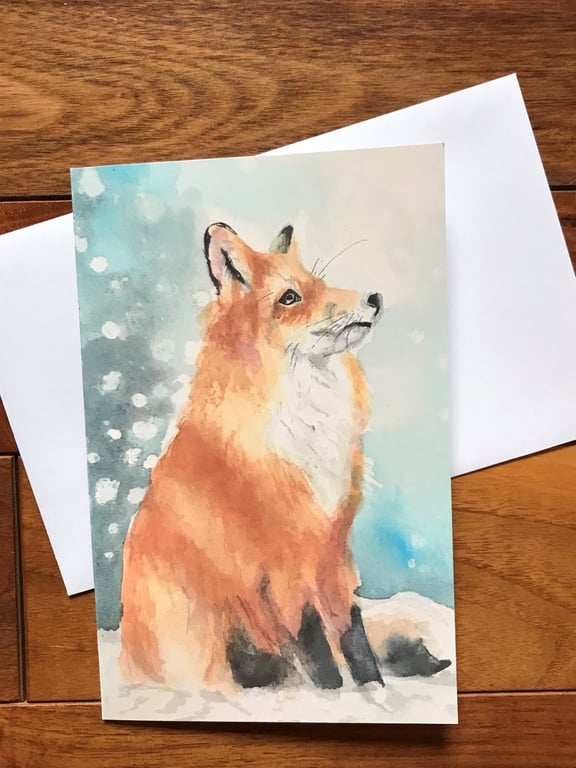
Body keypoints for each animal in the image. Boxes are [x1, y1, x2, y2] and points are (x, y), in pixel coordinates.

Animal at [119, 221, 388, 692]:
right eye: (289, 298)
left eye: (318, 283)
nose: (374, 298)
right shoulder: (284, 563)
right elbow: (316, 646)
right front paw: (338, 698)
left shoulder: (334, 548)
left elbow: (353, 635)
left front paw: (375, 691)